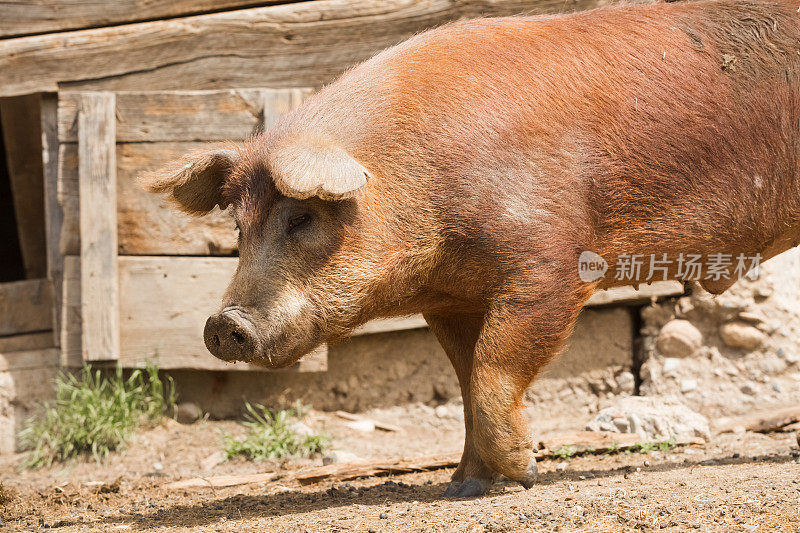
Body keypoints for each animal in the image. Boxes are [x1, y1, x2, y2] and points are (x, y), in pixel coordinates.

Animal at [144, 0, 800, 496]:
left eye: (302, 218)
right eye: (239, 228)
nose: (223, 324)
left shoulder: (551, 268)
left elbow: (492, 373)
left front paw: (526, 474)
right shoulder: (452, 301)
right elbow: (464, 382)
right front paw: (461, 486)